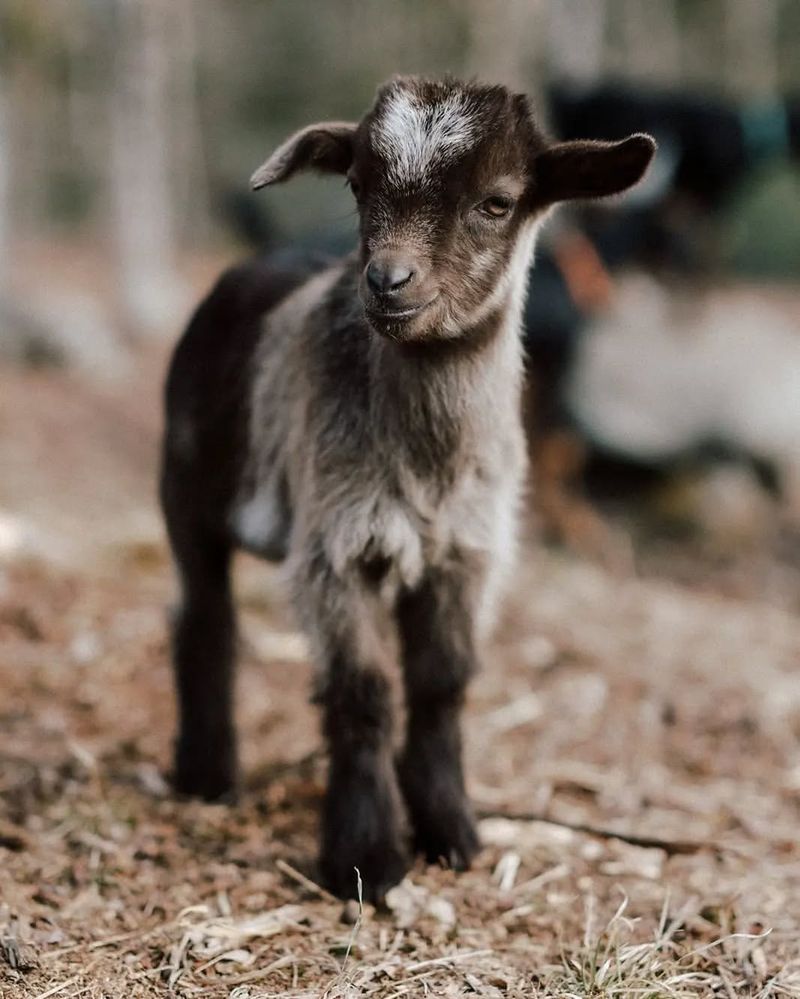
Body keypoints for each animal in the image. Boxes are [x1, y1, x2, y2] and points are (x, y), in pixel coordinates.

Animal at [162, 72, 656, 900]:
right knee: (205, 618)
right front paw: (365, 856)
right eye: (358, 186)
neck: (431, 462)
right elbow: (362, 695)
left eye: (497, 201)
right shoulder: (336, 549)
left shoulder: (465, 553)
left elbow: (440, 686)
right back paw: (208, 775)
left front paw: (450, 831)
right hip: (185, 492)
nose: (388, 281)